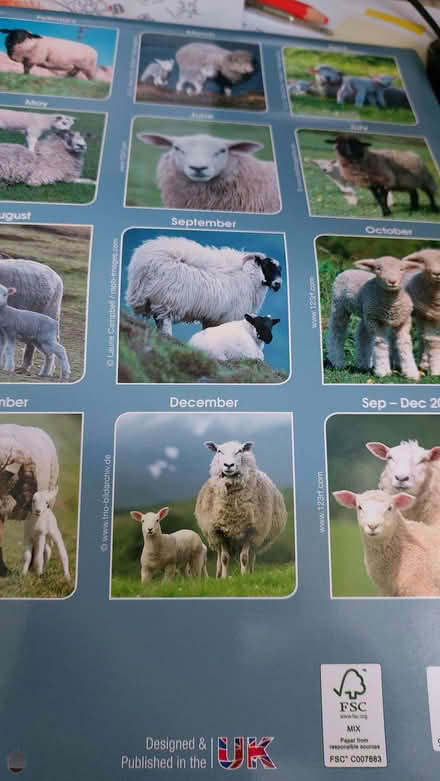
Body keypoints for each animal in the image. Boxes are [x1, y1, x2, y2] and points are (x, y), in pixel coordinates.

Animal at [126, 235, 282, 337]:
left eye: (280, 269)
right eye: (267, 266)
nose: (278, 284)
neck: (250, 276)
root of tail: (146, 262)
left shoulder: (214, 317)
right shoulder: (228, 316)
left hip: (150, 295)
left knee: (158, 318)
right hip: (169, 298)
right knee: (164, 319)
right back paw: (168, 335)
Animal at [195, 441, 287, 578]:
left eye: (240, 451)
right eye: (219, 451)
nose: (228, 465)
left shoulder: (250, 532)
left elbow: (244, 558)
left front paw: (244, 576)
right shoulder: (219, 532)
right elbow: (224, 558)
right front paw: (224, 578)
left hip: (258, 537)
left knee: (252, 556)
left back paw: (251, 572)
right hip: (214, 537)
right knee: (218, 555)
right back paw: (218, 575)